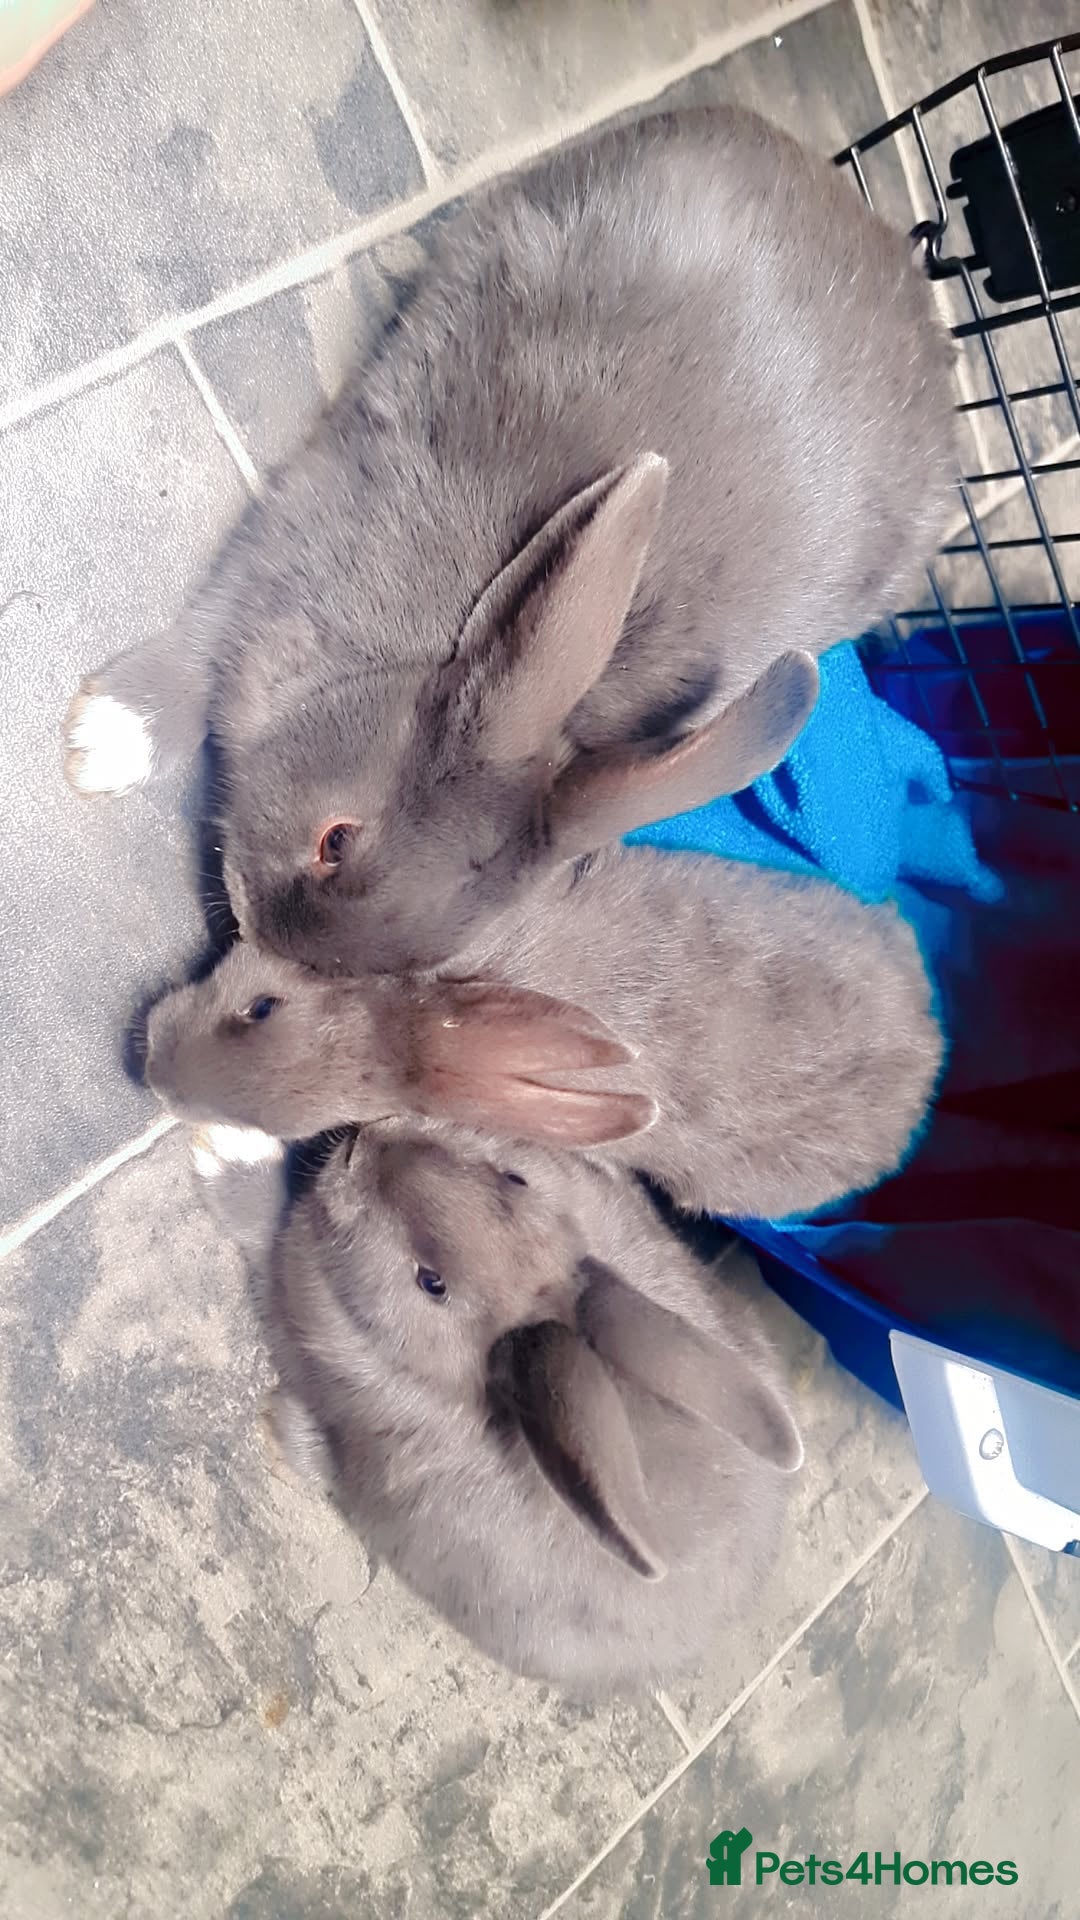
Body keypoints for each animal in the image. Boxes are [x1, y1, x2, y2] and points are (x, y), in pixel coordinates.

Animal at [64, 105, 956, 975]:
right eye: (336, 840)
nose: (255, 923)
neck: (411, 662)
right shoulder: (295, 533)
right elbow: (199, 653)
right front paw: (102, 740)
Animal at [193, 1115, 802, 1694]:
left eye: (431, 1283)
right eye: (515, 1177)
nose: (364, 1145)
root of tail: (717, 1625)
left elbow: (259, 1216)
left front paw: (223, 1146)